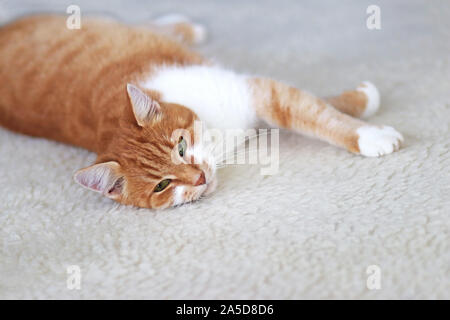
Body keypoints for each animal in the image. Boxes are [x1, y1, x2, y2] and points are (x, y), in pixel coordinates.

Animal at [0, 14, 404, 210]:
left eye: (181, 147)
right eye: (162, 185)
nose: (197, 178)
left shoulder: (256, 93)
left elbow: (314, 112)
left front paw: (366, 122)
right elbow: (308, 109)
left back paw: (186, 25)